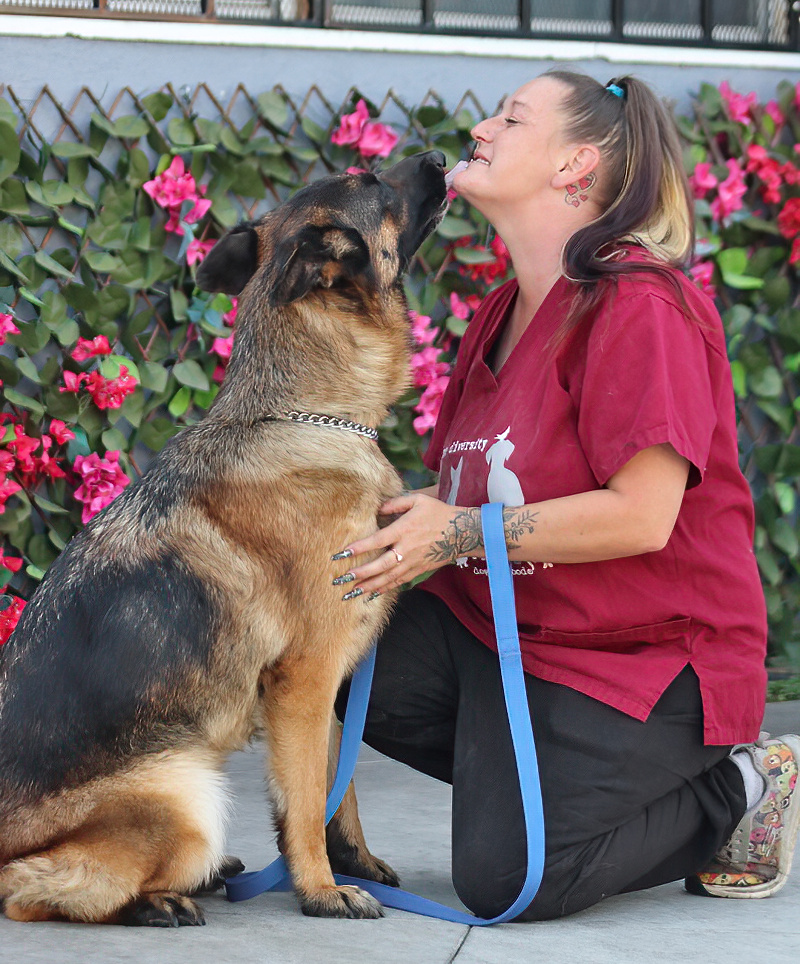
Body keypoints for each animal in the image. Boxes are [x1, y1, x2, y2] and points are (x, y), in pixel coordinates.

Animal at [0, 150, 447, 925]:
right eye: (370, 179)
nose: (445, 155)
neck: (300, 413)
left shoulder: (332, 684)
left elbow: (341, 790)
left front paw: (353, 862)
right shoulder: (305, 680)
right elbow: (307, 800)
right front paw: (320, 888)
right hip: (187, 796)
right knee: (34, 889)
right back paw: (161, 902)